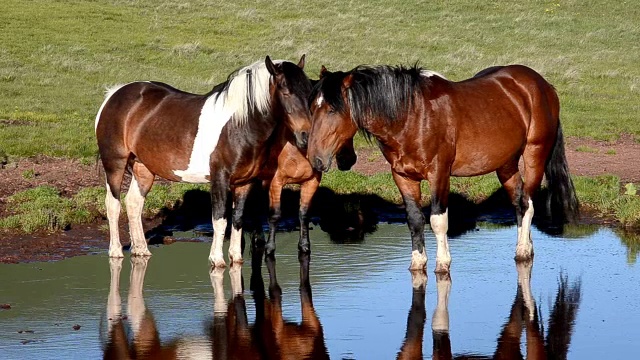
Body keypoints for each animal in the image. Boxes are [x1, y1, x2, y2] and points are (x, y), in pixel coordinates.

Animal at [95, 54, 312, 268]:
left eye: (307, 91)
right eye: (285, 92)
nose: (306, 136)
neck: (239, 125)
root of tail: (114, 94)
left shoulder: (245, 182)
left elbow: (238, 219)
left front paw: (236, 258)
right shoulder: (219, 179)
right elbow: (220, 219)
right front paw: (217, 259)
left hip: (144, 168)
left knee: (133, 203)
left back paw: (141, 250)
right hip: (115, 164)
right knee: (113, 204)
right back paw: (115, 251)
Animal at [304, 65, 580, 272]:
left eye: (332, 109)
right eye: (312, 108)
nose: (314, 159)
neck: (411, 116)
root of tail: (542, 84)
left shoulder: (439, 174)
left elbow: (438, 220)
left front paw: (442, 263)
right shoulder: (402, 176)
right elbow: (414, 220)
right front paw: (417, 263)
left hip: (534, 154)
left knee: (527, 203)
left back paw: (523, 251)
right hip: (506, 164)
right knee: (519, 203)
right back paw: (527, 246)